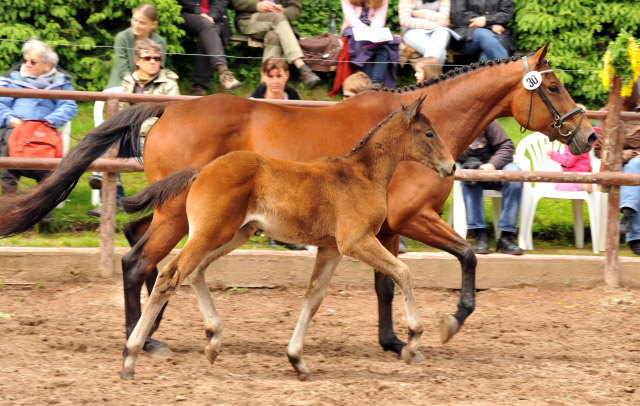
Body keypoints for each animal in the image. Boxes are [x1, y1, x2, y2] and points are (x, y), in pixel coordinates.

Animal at [119, 96, 456, 380]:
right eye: (428, 133)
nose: (451, 165)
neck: (362, 175)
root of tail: (201, 171)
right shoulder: (357, 241)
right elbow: (403, 272)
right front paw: (412, 342)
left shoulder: (331, 249)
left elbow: (314, 297)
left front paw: (297, 360)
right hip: (210, 233)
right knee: (168, 275)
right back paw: (131, 355)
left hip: (233, 234)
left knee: (195, 271)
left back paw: (212, 340)